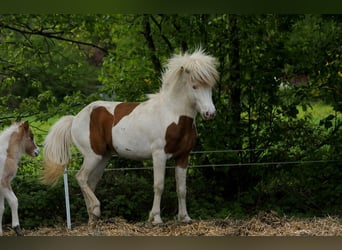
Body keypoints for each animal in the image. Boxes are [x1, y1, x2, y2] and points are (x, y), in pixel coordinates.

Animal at [42, 48, 219, 227]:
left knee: (90, 182)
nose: (210, 114)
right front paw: (155, 218)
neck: (172, 114)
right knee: (81, 178)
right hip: (93, 155)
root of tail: (75, 119)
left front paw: (184, 217)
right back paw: (96, 209)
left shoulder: (183, 157)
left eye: (210, 86)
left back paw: (93, 218)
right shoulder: (159, 155)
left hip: (103, 157)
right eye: (194, 86)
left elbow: (182, 189)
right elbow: (159, 185)